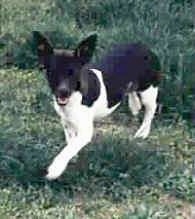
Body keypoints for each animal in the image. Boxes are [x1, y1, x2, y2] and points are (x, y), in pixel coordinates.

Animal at [33, 32, 161, 180]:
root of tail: (147, 49)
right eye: (51, 72)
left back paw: (143, 132)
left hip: (148, 90)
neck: (75, 96)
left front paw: (56, 168)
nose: (63, 92)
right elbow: (70, 142)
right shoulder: (66, 122)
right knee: (133, 94)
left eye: (74, 73)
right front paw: (72, 158)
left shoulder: (85, 131)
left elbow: (69, 148)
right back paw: (134, 104)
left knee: (151, 110)